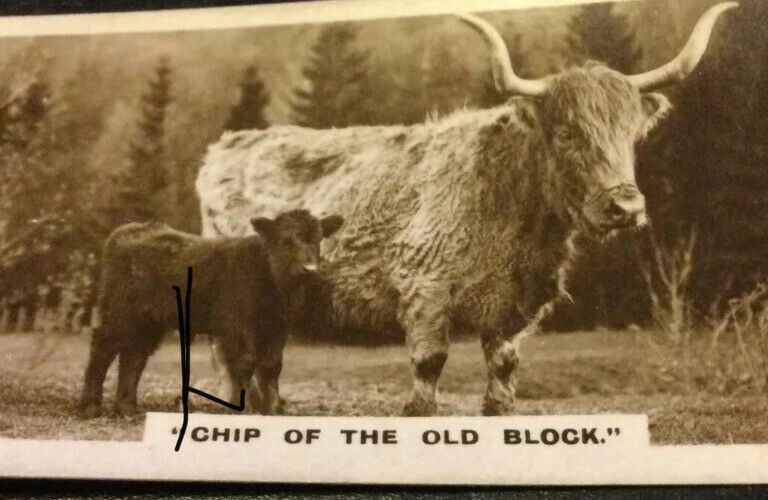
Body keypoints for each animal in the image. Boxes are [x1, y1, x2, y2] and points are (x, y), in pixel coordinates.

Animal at [78, 210, 343, 417]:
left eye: (318, 239)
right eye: (285, 241)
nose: (309, 269)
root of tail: (127, 231)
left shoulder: (278, 328)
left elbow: (271, 366)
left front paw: (271, 409)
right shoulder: (236, 327)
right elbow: (245, 363)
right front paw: (243, 408)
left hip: (148, 323)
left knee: (133, 358)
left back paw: (127, 409)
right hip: (118, 314)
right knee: (103, 351)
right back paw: (90, 408)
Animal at [195, 3, 736, 416]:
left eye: (632, 134)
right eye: (566, 133)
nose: (624, 205)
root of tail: (226, 146)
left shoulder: (512, 312)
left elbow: (503, 378)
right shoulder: (425, 293)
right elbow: (428, 371)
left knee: (266, 362)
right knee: (237, 359)